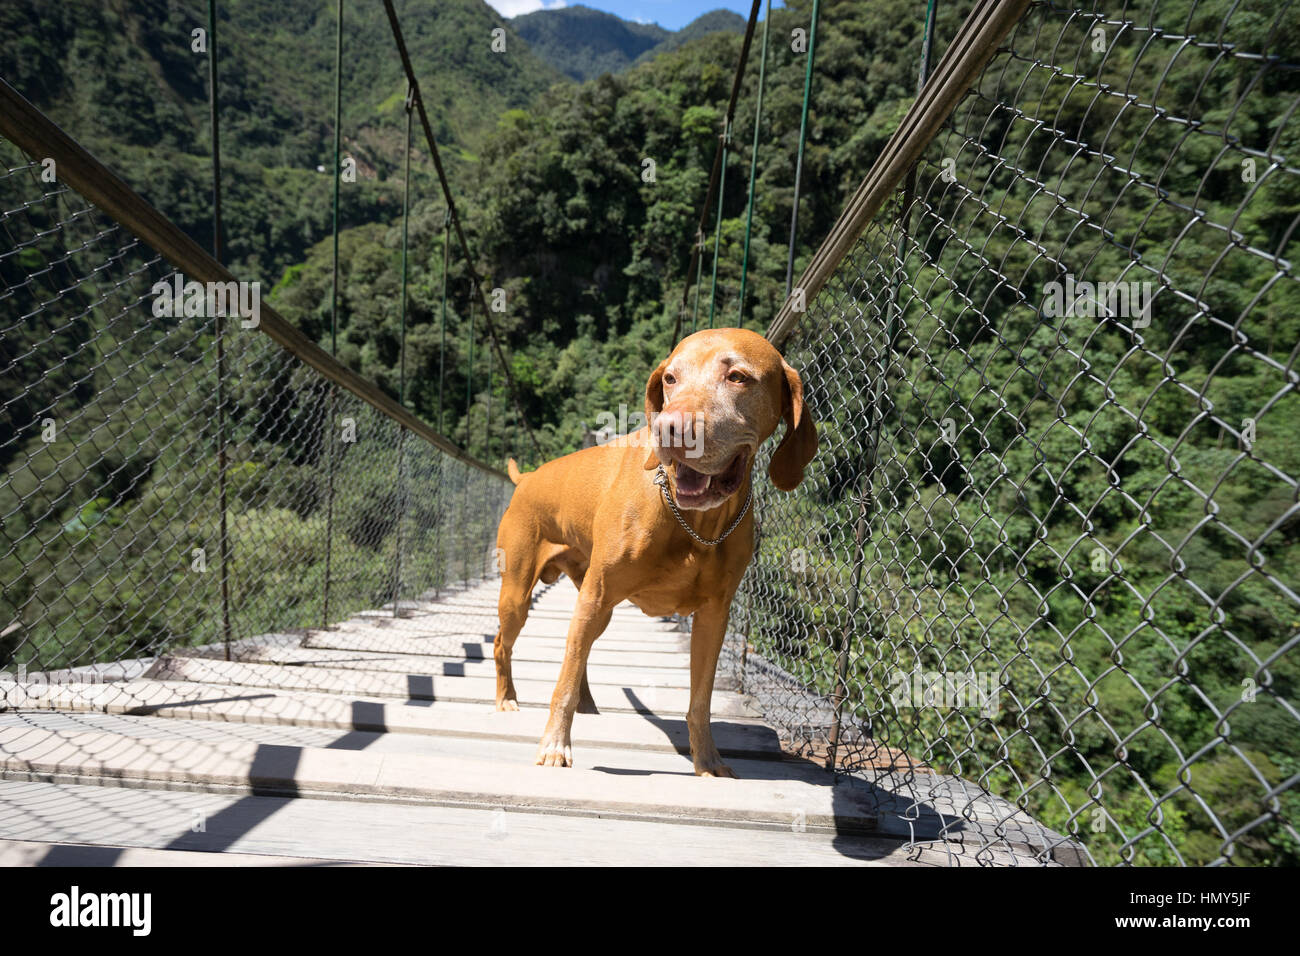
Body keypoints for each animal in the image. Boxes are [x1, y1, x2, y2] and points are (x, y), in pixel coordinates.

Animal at [493, 329, 811, 780]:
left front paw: (708, 760)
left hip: (596, 607)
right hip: (520, 593)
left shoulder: (713, 616)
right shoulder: (596, 594)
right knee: (506, 644)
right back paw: (507, 697)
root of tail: (528, 478)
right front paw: (555, 746)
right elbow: (562, 685)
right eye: (670, 379)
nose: (671, 429)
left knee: (578, 652)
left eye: (737, 377)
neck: (694, 521)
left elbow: (700, 701)